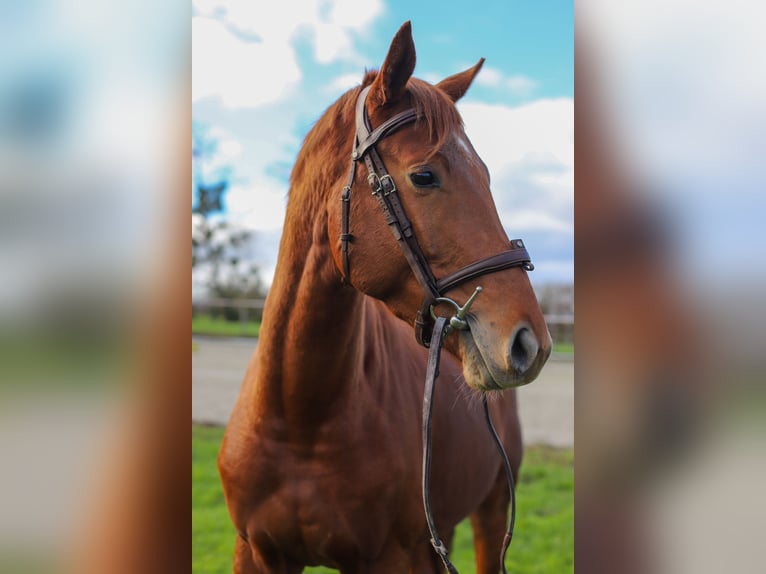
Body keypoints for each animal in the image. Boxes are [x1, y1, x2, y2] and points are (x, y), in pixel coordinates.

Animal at [220, 22, 552, 574]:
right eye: (424, 175)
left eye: (486, 177)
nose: (531, 343)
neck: (300, 417)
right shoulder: (255, 552)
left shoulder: (391, 557)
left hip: (489, 513)